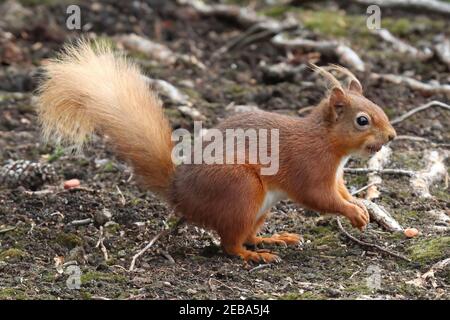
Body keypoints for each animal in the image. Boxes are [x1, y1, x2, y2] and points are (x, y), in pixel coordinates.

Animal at [38, 40, 398, 264]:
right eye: (362, 120)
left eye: (378, 107)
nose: (392, 136)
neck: (329, 144)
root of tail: (180, 196)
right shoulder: (309, 170)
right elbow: (321, 198)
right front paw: (353, 213)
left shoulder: (335, 176)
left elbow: (342, 192)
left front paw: (359, 207)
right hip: (242, 190)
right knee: (230, 244)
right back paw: (255, 255)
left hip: (259, 207)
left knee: (246, 235)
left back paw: (270, 240)